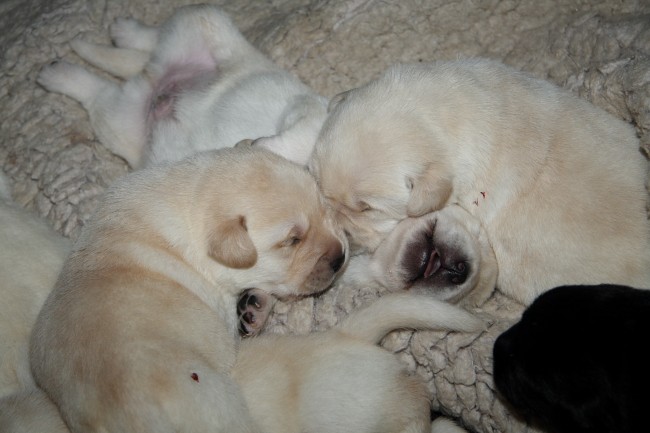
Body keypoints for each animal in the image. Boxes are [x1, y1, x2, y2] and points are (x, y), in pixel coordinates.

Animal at [36, 4, 324, 168]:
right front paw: (259, 148)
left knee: (98, 91)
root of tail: (156, 78)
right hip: (207, 20)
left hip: (119, 123)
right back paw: (126, 31)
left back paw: (59, 73)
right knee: (156, 36)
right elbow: (304, 140)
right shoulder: (313, 109)